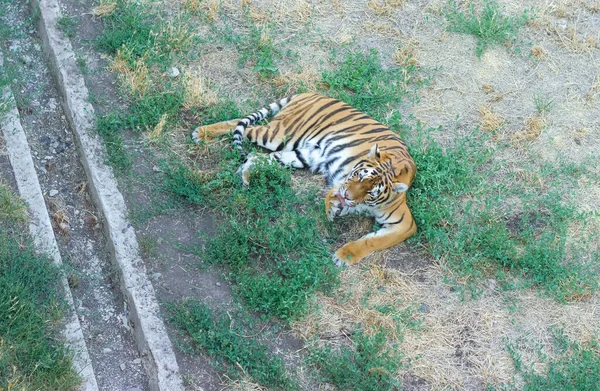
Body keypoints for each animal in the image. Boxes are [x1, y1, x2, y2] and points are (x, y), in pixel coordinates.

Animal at [193, 93, 418, 268]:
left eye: (371, 192)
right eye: (358, 176)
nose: (347, 196)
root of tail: (311, 93)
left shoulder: (404, 224)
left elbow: (372, 242)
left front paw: (344, 256)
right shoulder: (344, 182)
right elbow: (332, 193)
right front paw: (331, 209)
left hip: (303, 154)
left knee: (258, 156)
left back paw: (245, 176)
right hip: (279, 135)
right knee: (239, 125)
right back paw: (201, 132)